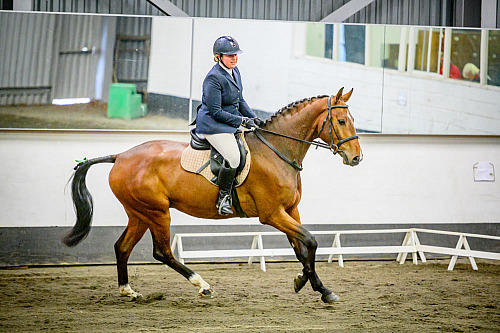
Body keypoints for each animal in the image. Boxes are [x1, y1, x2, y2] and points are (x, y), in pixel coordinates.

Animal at [64, 87, 364, 302]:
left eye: (352, 120)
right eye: (340, 121)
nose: (356, 158)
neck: (276, 150)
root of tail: (120, 156)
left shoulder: (290, 210)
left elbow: (301, 248)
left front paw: (313, 285)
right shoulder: (272, 214)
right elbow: (310, 241)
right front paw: (315, 287)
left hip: (138, 213)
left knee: (122, 247)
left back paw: (128, 291)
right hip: (157, 213)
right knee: (162, 252)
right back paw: (203, 286)